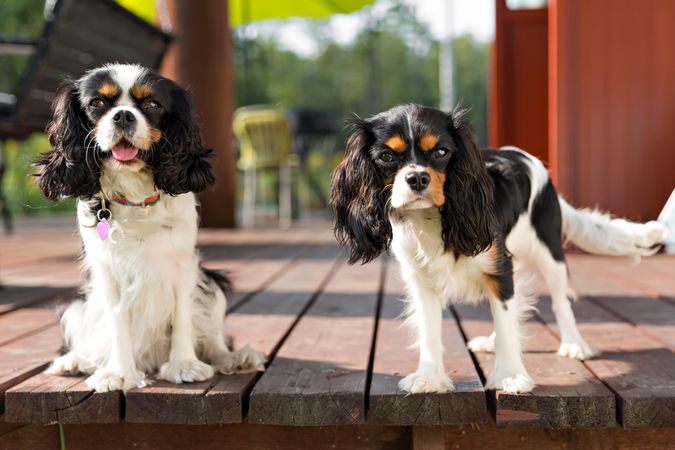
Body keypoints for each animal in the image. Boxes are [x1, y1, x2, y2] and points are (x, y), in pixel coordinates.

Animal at [35, 65, 266, 392]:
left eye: (153, 105)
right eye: (97, 103)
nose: (123, 116)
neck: (135, 193)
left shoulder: (184, 265)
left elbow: (182, 315)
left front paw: (184, 365)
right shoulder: (108, 271)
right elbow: (117, 319)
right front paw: (118, 372)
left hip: (212, 283)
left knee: (215, 338)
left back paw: (233, 359)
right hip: (77, 306)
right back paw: (74, 361)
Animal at [330, 104, 668, 394]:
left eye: (441, 152)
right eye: (387, 156)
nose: (416, 178)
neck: (433, 218)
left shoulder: (499, 268)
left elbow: (507, 323)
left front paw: (509, 376)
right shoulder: (422, 281)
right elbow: (430, 331)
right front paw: (429, 378)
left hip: (549, 254)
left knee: (560, 301)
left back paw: (574, 343)